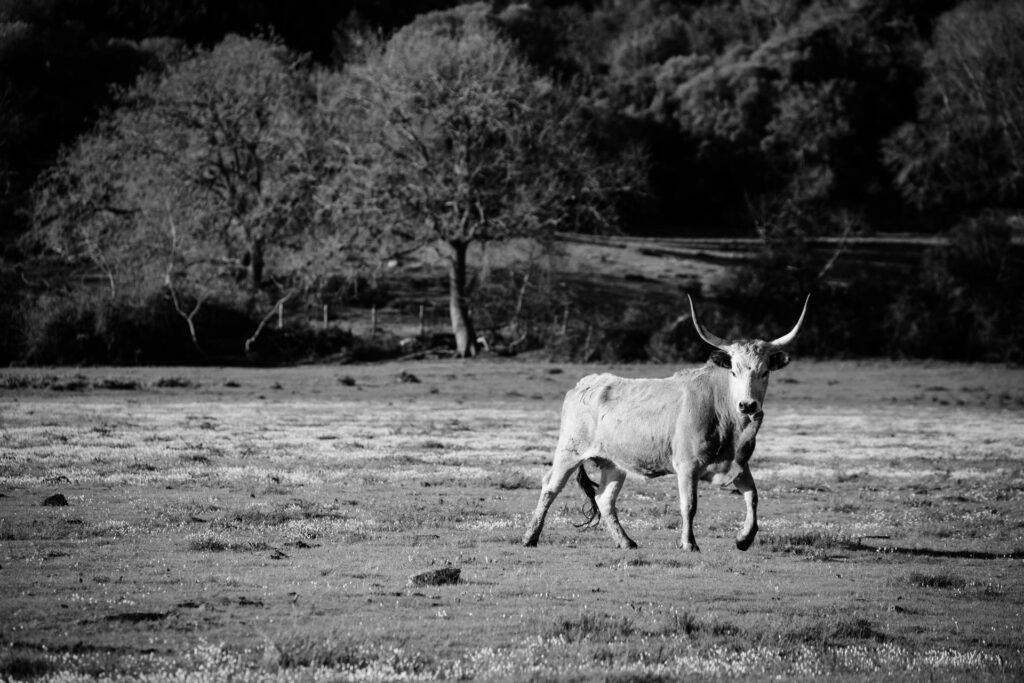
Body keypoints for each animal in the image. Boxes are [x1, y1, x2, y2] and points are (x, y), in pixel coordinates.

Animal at [524, 296, 811, 552]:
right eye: (733, 371)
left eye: (764, 372)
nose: (748, 405)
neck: (725, 415)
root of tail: (585, 384)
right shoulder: (687, 466)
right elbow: (689, 505)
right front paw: (689, 543)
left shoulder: (738, 464)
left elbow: (753, 497)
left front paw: (744, 539)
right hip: (569, 451)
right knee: (550, 487)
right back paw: (530, 536)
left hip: (614, 463)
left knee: (604, 499)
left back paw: (625, 541)